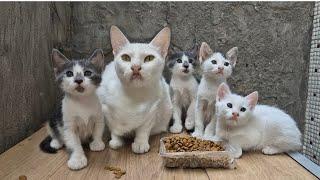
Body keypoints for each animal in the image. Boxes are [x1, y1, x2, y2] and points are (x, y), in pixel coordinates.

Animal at [97, 26, 172, 154]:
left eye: (149, 58)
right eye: (126, 57)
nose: (136, 67)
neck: (134, 95)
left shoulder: (153, 109)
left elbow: (143, 129)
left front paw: (140, 143)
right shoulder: (105, 109)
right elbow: (114, 128)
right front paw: (116, 141)